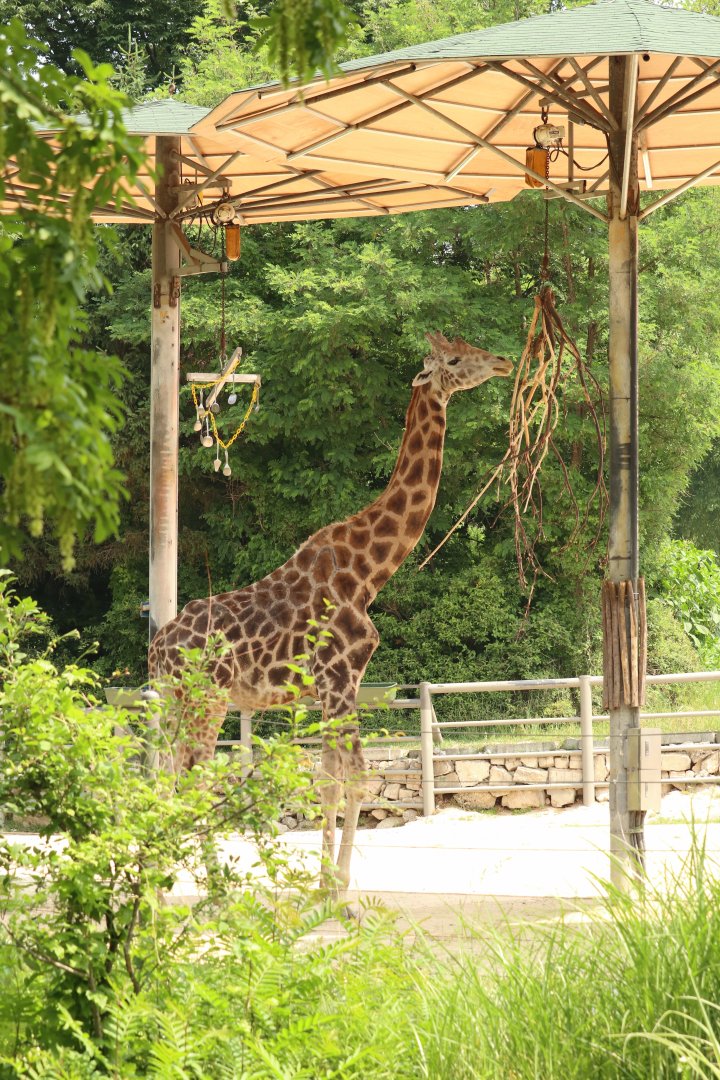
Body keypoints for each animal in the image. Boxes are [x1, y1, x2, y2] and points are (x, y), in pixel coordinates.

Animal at [148, 331, 512, 897]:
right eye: (453, 358)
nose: (503, 361)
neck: (367, 574)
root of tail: (156, 649)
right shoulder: (340, 678)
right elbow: (355, 775)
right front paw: (341, 893)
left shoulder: (328, 688)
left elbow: (327, 777)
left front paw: (322, 886)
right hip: (206, 697)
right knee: (191, 774)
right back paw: (208, 887)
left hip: (176, 699)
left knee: (165, 774)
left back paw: (158, 881)